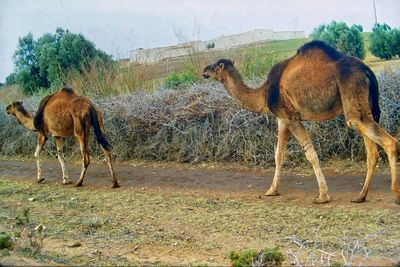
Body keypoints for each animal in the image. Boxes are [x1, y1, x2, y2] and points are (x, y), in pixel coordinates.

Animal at [203, 39, 400, 204]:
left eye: (216, 66)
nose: (204, 70)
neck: (264, 93)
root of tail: (367, 71)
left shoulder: (291, 117)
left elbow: (310, 154)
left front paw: (322, 196)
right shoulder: (282, 119)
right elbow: (278, 155)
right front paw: (272, 190)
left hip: (352, 97)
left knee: (389, 142)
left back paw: (395, 194)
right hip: (363, 108)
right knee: (372, 152)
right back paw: (360, 196)